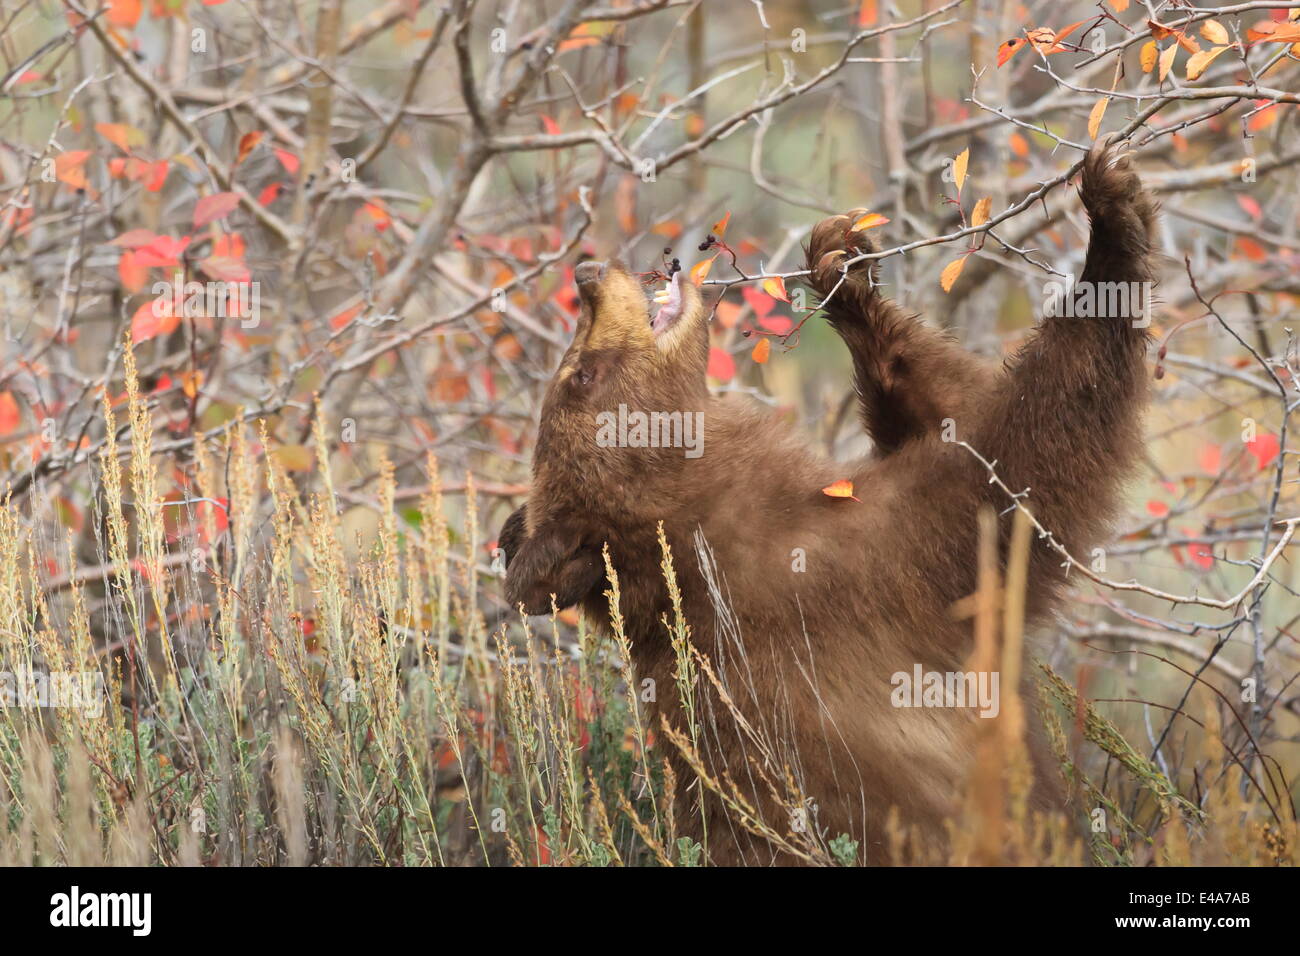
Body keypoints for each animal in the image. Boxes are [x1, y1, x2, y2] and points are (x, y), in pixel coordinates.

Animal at [499, 137, 1158, 865]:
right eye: (581, 375)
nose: (587, 274)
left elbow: (946, 409)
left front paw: (843, 271)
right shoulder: (864, 571)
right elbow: (1022, 465)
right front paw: (1111, 220)